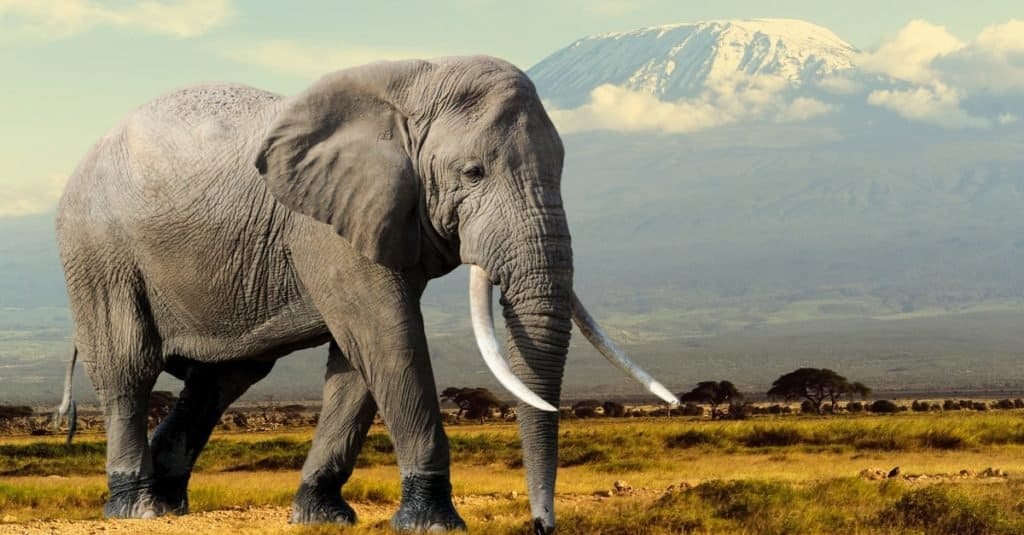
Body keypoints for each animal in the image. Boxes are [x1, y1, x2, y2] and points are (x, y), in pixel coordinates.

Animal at [54, 54, 679, 528]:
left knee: (223, 377)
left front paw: (320, 515)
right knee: (129, 369)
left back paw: (168, 501)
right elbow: (387, 336)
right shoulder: (327, 225)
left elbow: (358, 361)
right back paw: (136, 508)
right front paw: (432, 522)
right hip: (98, 251)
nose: (541, 525)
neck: (415, 83)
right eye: (473, 173)